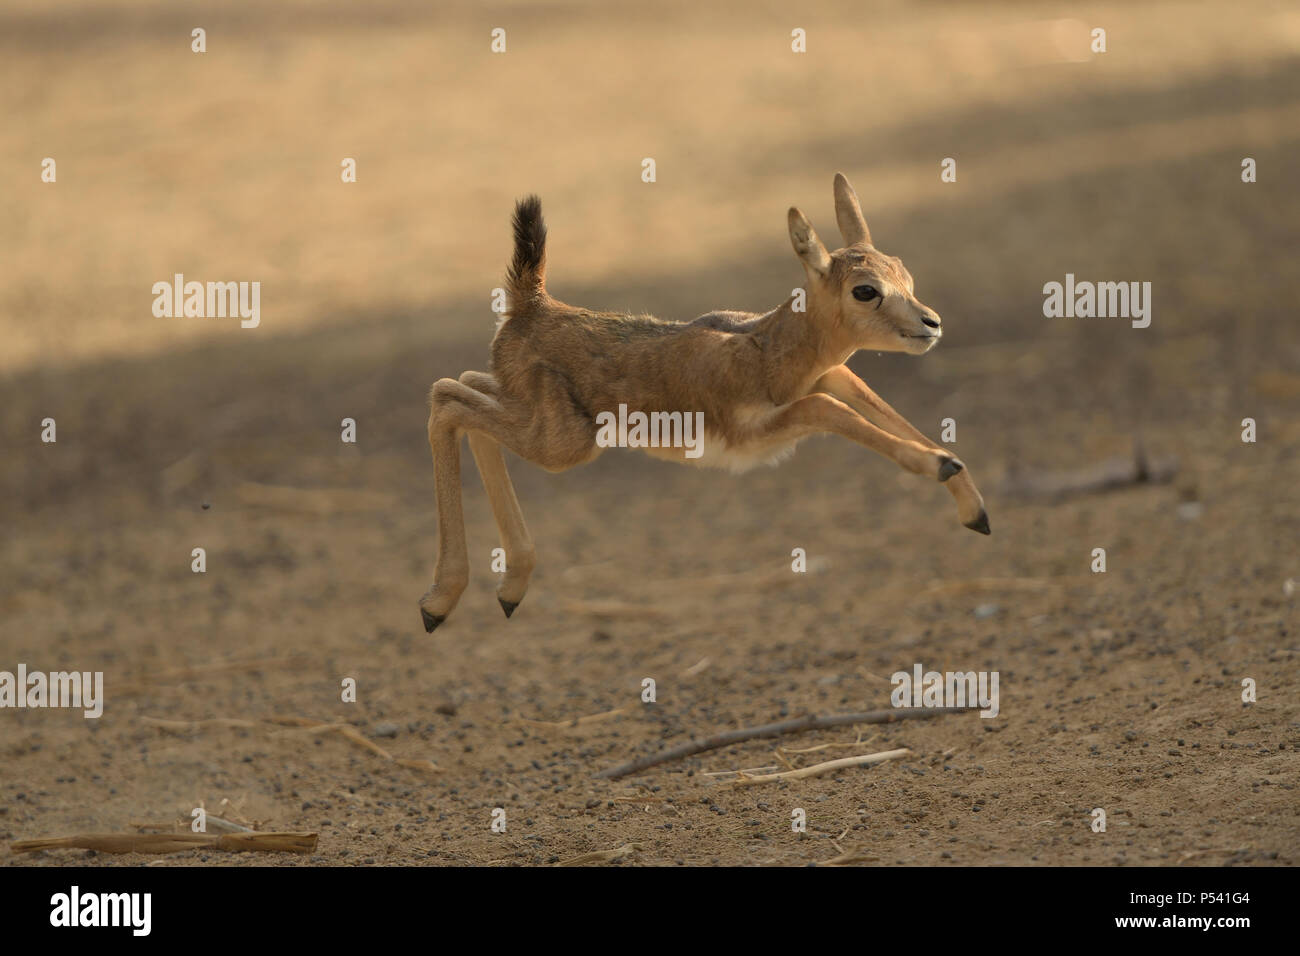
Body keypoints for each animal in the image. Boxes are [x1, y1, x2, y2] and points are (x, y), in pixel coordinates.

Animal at [421, 175, 987, 632]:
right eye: (866, 290)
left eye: (905, 273)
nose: (930, 323)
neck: (765, 350)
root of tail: (532, 303)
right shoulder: (758, 431)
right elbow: (827, 411)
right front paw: (941, 465)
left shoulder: (830, 378)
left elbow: (865, 399)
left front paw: (973, 506)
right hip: (564, 444)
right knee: (446, 398)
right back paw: (438, 604)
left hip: (527, 413)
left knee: (462, 390)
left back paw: (508, 590)